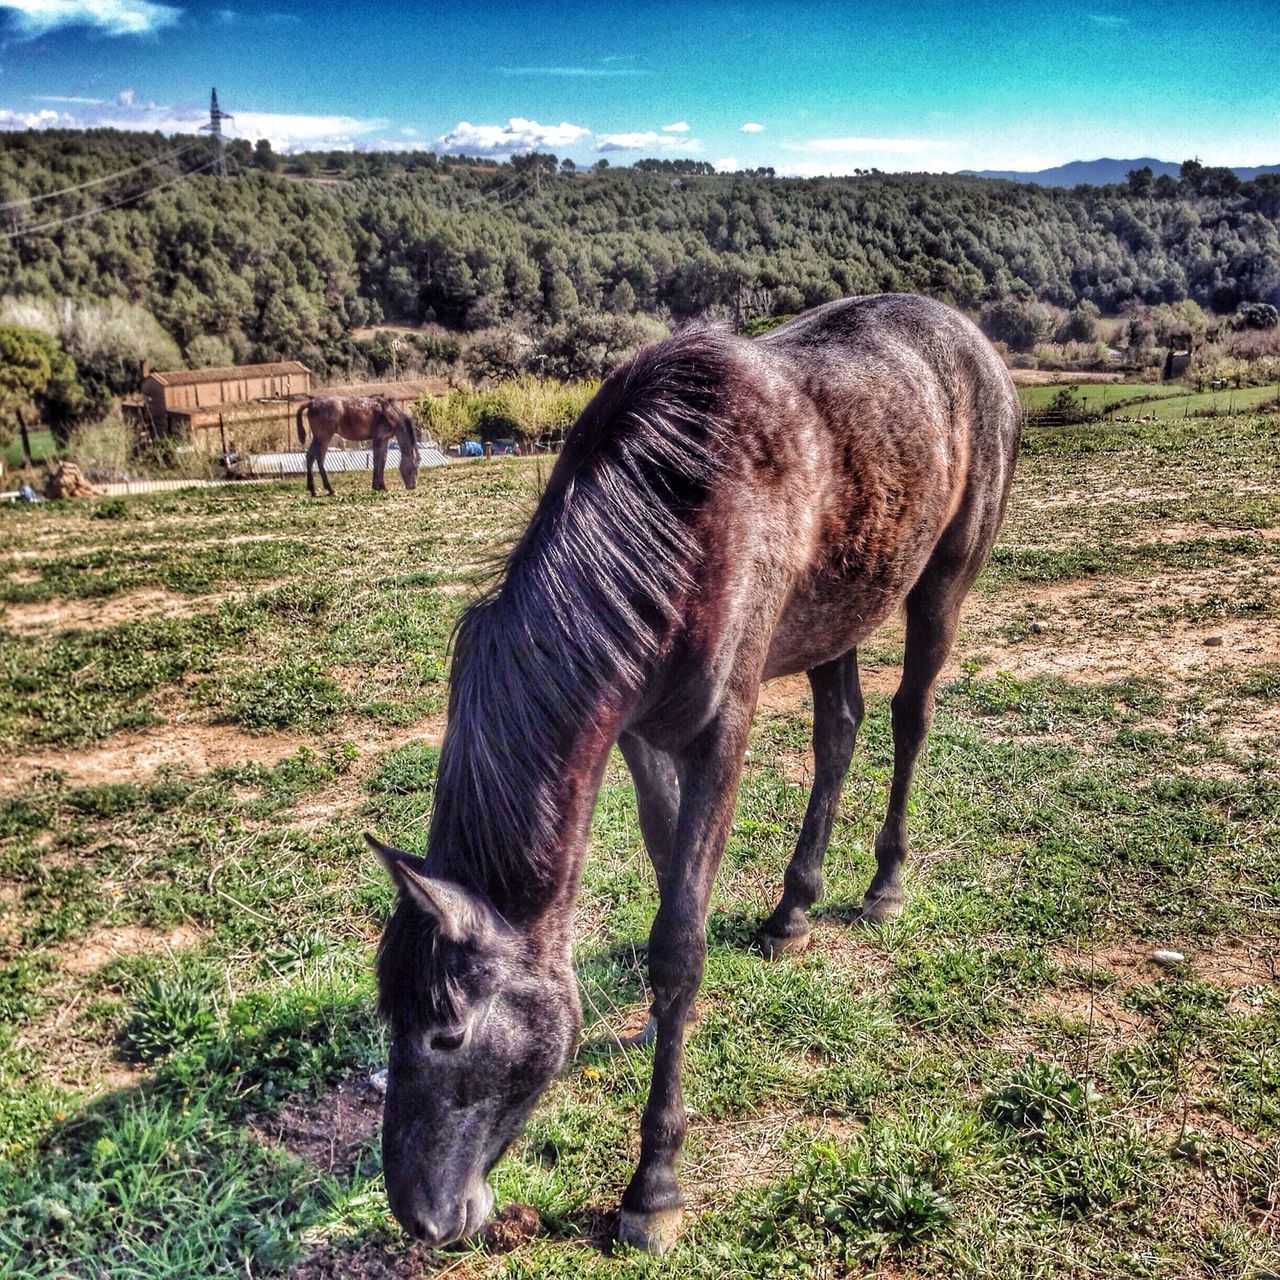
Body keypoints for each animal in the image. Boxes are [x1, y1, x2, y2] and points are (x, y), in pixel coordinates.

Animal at [368, 294, 1018, 1254]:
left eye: (447, 1032)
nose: (421, 1214)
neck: (678, 521)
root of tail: (971, 338)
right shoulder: (638, 731)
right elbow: (665, 861)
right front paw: (650, 1022)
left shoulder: (720, 733)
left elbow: (679, 942)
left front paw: (654, 1186)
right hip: (840, 608)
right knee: (840, 730)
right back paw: (792, 911)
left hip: (942, 581)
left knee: (909, 717)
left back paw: (884, 886)